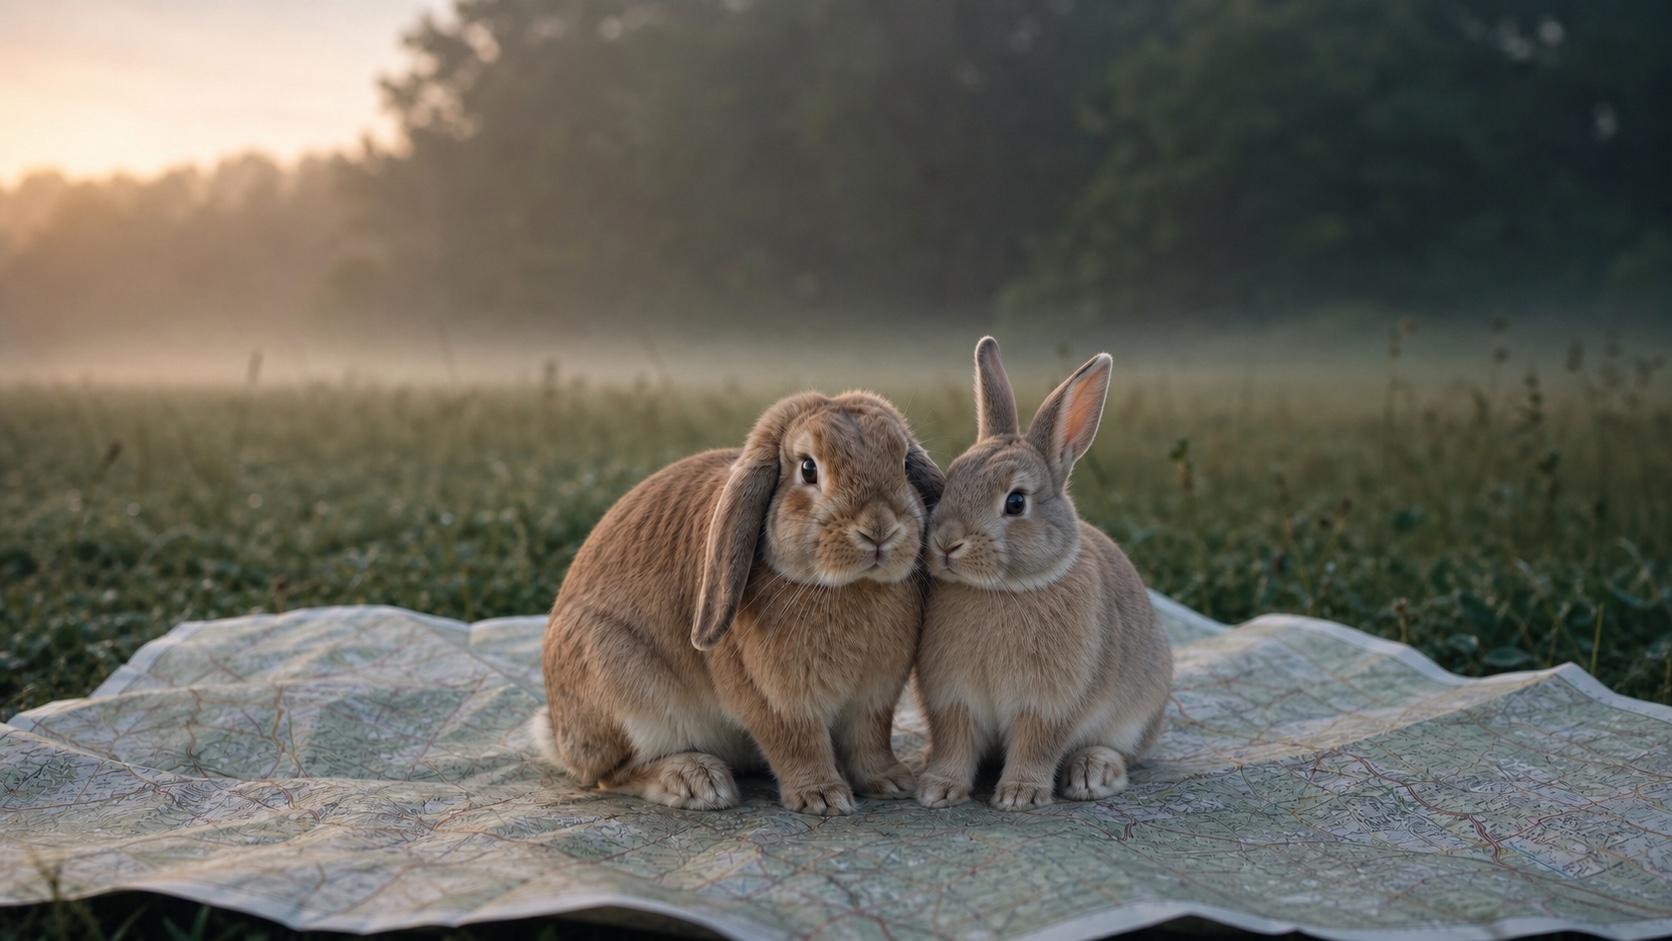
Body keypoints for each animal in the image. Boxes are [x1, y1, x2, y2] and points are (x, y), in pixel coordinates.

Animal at [536, 391, 945, 815]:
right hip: (619, 684)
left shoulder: (873, 701)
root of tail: (560, 734)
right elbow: (798, 745)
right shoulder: (775, 701)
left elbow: (869, 742)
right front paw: (822, 798)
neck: (848, 587)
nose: (880, 529)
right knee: (611, 774)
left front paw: (892, 782)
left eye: (903, 464)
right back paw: (698, 782)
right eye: (809, 469)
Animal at [914, 337, 1172, 811]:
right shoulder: (953, 701)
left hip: (1138, 711)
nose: (946, 542)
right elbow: (955, 743)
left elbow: (1037, 745)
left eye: (1016, 502)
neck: (1001, 590)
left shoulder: (1050, 705)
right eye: (948, 482)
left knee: (1125, 752)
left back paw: (1093, 772)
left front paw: (1020, 795)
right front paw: (937, 789)